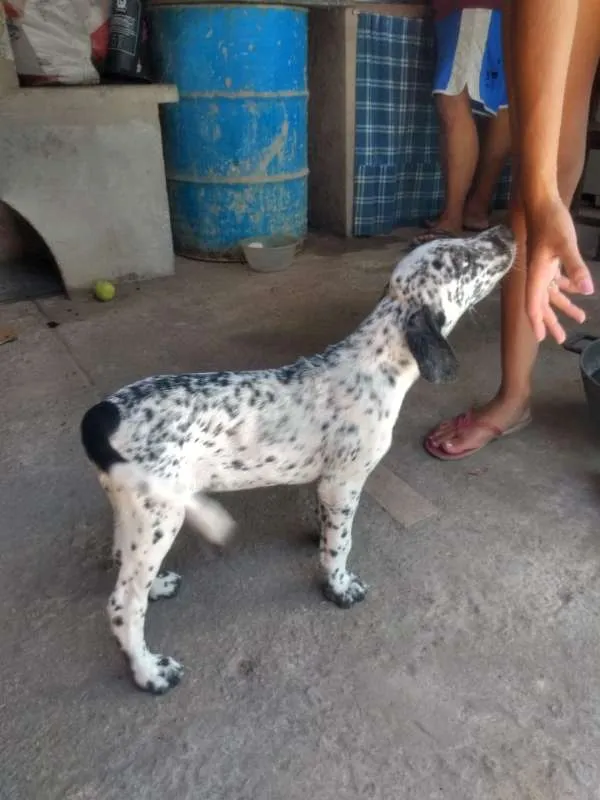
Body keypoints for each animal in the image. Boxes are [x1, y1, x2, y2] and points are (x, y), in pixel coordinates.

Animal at [81, 225, 516, 692]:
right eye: (464, 262)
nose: (506, 231)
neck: (376, 362)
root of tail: (103, 412)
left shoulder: (327, 484)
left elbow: (327, 529)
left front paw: (320, 540)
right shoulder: (344, 481)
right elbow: (341, 544)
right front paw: (339, 586)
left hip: (135, 509)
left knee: (122, 561)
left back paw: (157, 586)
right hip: (161, 515)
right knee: (123, 604)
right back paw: (148, 671)